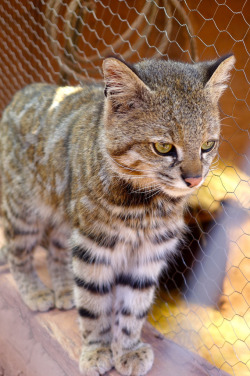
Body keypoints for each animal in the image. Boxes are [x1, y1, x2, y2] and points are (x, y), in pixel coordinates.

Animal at [0, 53, 234, 376]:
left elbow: (134, 306)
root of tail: (22, 92)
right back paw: (35, 291)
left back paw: (64, 290)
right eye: (163, 147)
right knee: (17, 252)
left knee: (56, 250)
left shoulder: (149, 252)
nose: (195, 179)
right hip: (24, 211)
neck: (145, 205)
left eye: (207, 145)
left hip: (64, 219)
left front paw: (128, 348)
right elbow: (94, 303)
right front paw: (96, 349)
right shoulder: (93, 246)